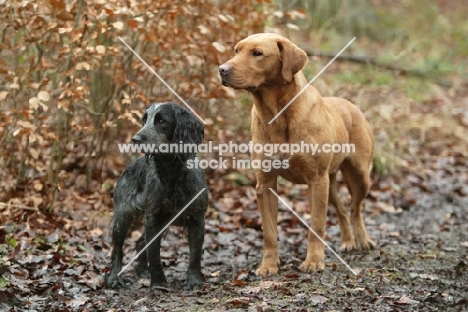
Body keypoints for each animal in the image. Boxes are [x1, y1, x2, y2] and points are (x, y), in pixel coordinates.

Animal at [108, 102, 208, 290]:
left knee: (140, 243)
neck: (173, 175)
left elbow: (195, 256)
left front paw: (194, 281)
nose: (135, 139)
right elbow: (154, 254)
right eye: (144, 120)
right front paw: (159, 283)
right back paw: (114, 278)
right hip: (122, 217)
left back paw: (142, 271)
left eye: (161, 121)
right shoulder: (153, 218)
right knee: (117, 249)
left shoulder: (197, 219)